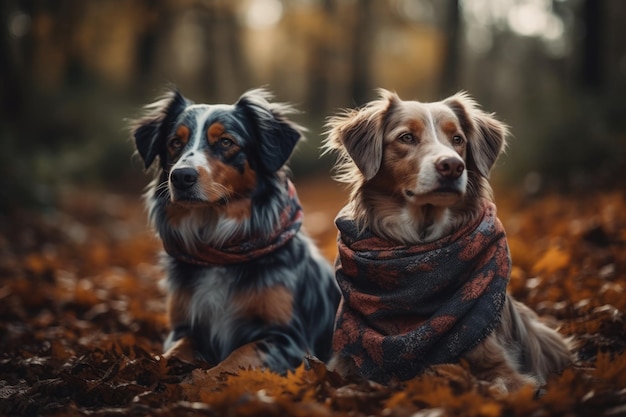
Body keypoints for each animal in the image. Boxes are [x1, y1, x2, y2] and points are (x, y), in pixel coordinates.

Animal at [324, 89, 572, 392]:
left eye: (458, 139)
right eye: (406, 137)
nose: (453, 166)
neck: (420, 248)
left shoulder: (500, 366)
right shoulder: (346, 365)